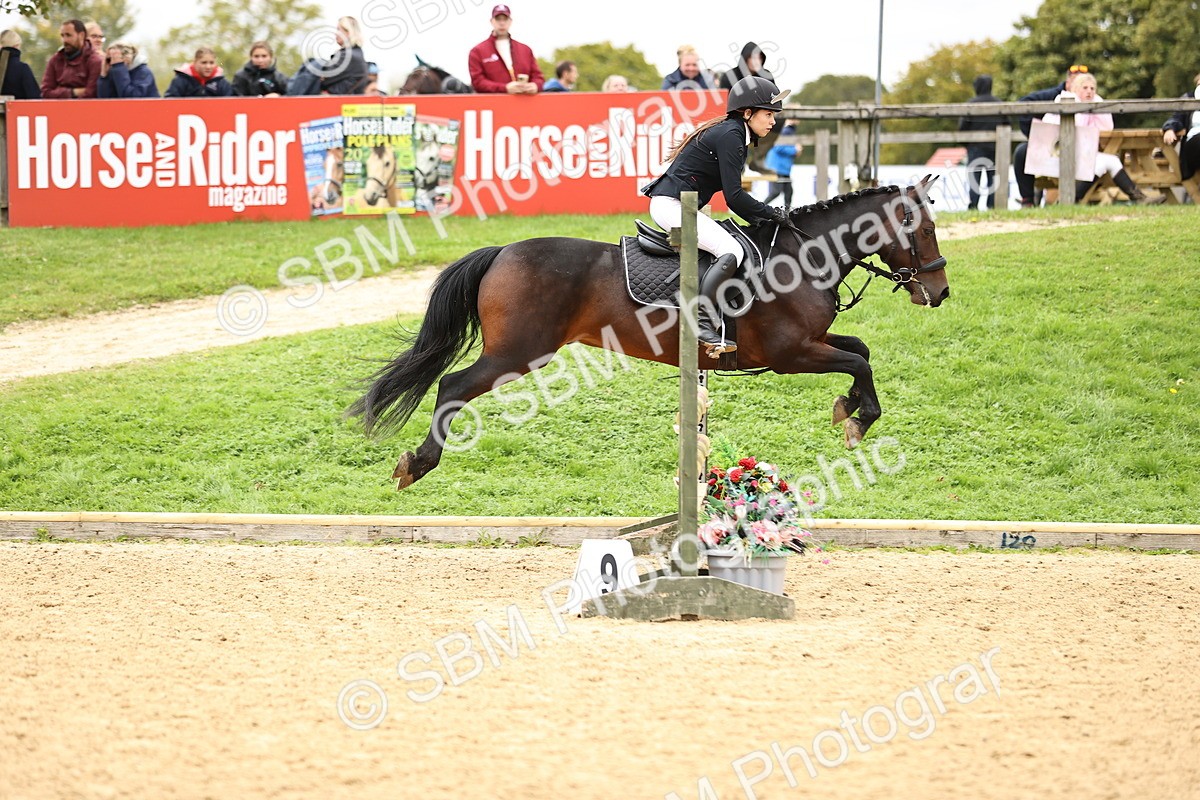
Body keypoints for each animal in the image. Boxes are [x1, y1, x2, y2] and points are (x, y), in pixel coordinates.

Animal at [349, 177, 951, 489]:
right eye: (923, 229)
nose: (939, 292)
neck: (803, 258)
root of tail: (502, 252)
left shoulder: (807, 345)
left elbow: (860, 351)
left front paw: (847, 408)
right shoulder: (791, 353)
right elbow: (859, 361)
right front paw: (859, 420)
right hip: (518, 354)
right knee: (451, 387)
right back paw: (417, 464)